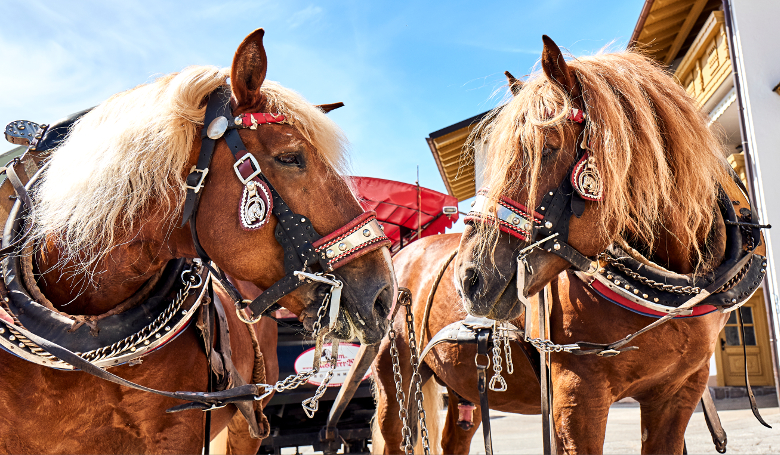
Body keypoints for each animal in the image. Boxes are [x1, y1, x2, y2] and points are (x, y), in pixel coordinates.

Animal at [374, 36, 764, 455]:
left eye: (548, 146)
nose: (469, 278)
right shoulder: (578, 396)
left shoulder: (680, 393)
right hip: (397, 380)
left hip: (464, 388)